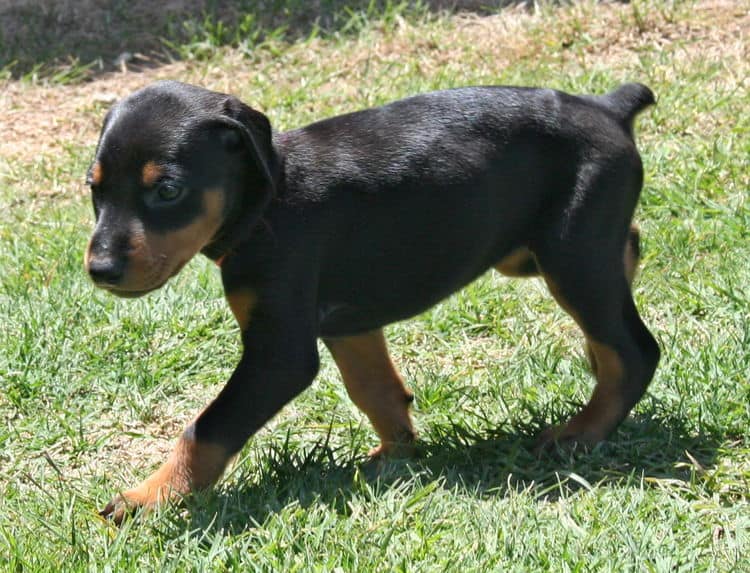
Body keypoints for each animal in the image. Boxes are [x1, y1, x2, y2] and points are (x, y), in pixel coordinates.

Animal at [88, 80, 660, 524]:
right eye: (94, 189)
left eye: (167, 190)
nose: (99, 269)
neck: (269, 203)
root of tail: (608, 107)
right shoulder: (348, 323)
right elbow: (374, 390)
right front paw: (395, 456)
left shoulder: (279, 354)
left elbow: (207, 427)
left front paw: (148, 498)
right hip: (538, 251)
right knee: (627, 252)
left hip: (571, 255)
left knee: (635, 351)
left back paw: (580, 433)